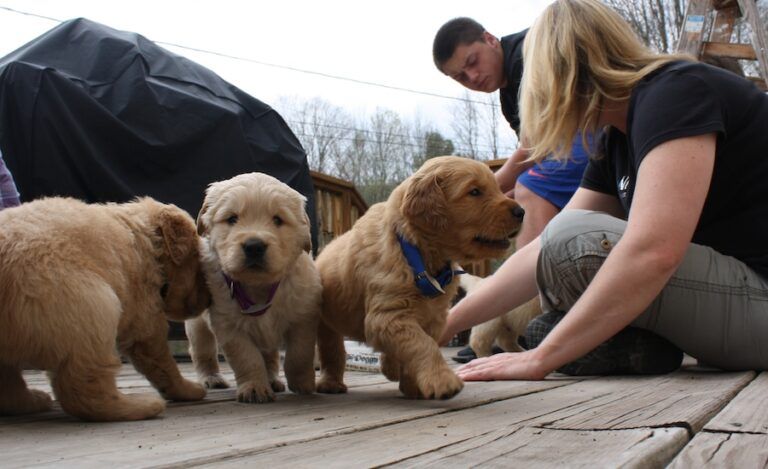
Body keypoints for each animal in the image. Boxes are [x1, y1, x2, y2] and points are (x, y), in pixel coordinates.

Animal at [0, 196, 210, 422]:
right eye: (198, 267)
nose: (208, 299)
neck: (150, 241)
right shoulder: (144, 314)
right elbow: (161, 360)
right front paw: (187, 389)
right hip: (91, 305)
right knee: (82, 388)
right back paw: (141, 406)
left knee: (9, 384)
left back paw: (31, 401)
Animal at [188, 172, 322, 402]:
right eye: (232, 218)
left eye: (278, 219)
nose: (254, 246)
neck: (259, 286)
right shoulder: (229, 325)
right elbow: (247, 358)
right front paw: (254, 387)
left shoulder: (303, 317)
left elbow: (299, 354)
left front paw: (303, 383)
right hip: (197, 325)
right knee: (202, 352)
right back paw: (211, 377)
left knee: (270, 356)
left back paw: (273, 380)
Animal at [316, 156, 524, 398]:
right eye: (474, 192)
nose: (521, 211)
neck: (415, 251)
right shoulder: (387, 316)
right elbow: (422, 344)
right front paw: (442, 380)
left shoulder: (433, 317)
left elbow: (419, 344)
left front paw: (412, 386)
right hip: (327, 322)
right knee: (332, 351)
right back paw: (331, 383)